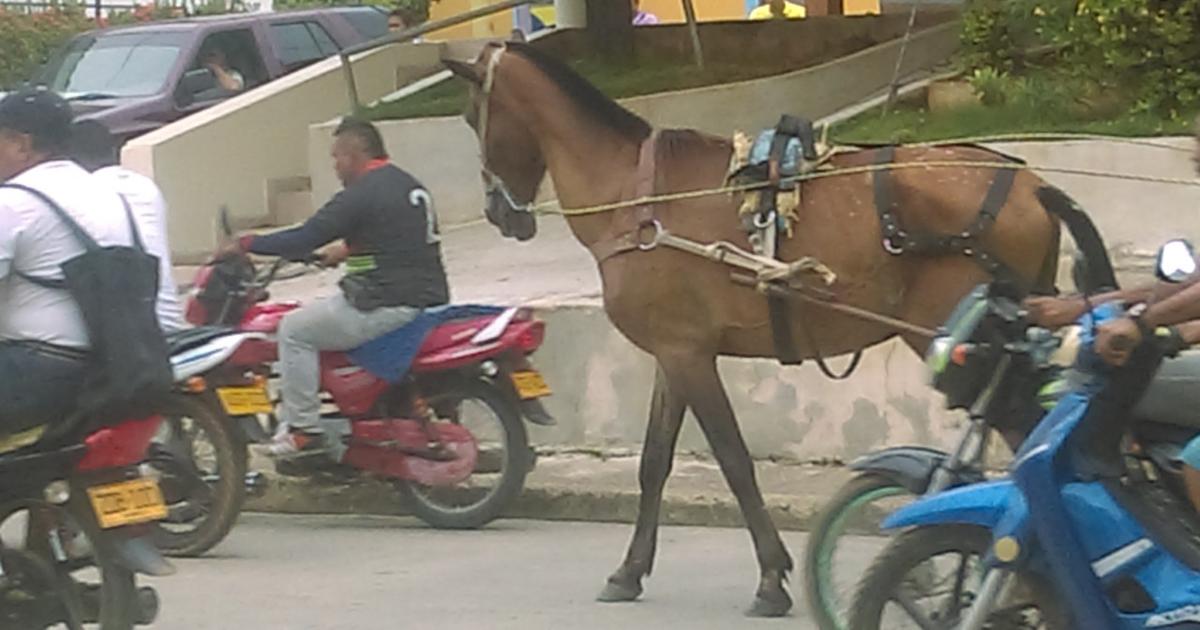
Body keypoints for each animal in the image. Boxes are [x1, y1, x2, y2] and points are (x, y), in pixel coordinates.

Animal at [444, 42, 1099, 614]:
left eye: (474, 115)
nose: (500, 213)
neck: (636, 199)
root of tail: (1031, 183)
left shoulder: (688, 355)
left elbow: (733, 460)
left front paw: (769, 578)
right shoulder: (674, 353)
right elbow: (654, 461)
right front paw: (629, 571)